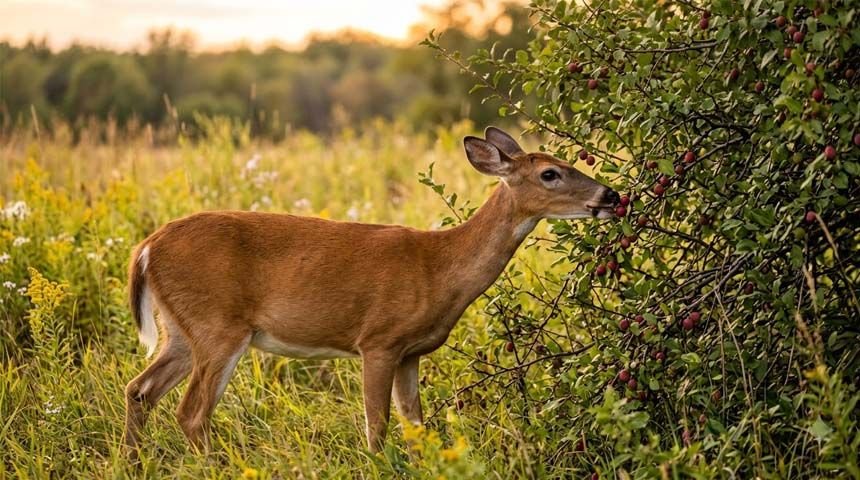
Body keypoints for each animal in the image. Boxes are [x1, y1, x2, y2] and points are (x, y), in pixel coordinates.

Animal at [123, 126, 619, 455]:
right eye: (551, 173)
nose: (611, 196)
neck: (439, 268)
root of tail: (146, 248)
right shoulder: (378, 340)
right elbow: (376, 428)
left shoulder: (412, 352)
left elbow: (416, 425)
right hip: (219, 326)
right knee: (191, 413)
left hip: (182, 330)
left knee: (140, 389)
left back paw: (134, 461)